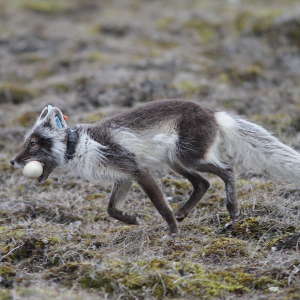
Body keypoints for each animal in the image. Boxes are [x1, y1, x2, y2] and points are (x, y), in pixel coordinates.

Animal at [9, 101, 300, 234]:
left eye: (33, 143)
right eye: (26, 142)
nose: (12, 161)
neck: (81, 144)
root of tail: (213, 113)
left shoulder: (138, 170)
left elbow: (160, 205)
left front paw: (171, 232)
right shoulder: (123, 177)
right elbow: (111, 209)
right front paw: (131, 219)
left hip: (187, 156)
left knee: (227, 171)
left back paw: (232, 211)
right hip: (176, 161)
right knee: (203, 183)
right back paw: (185, 212)